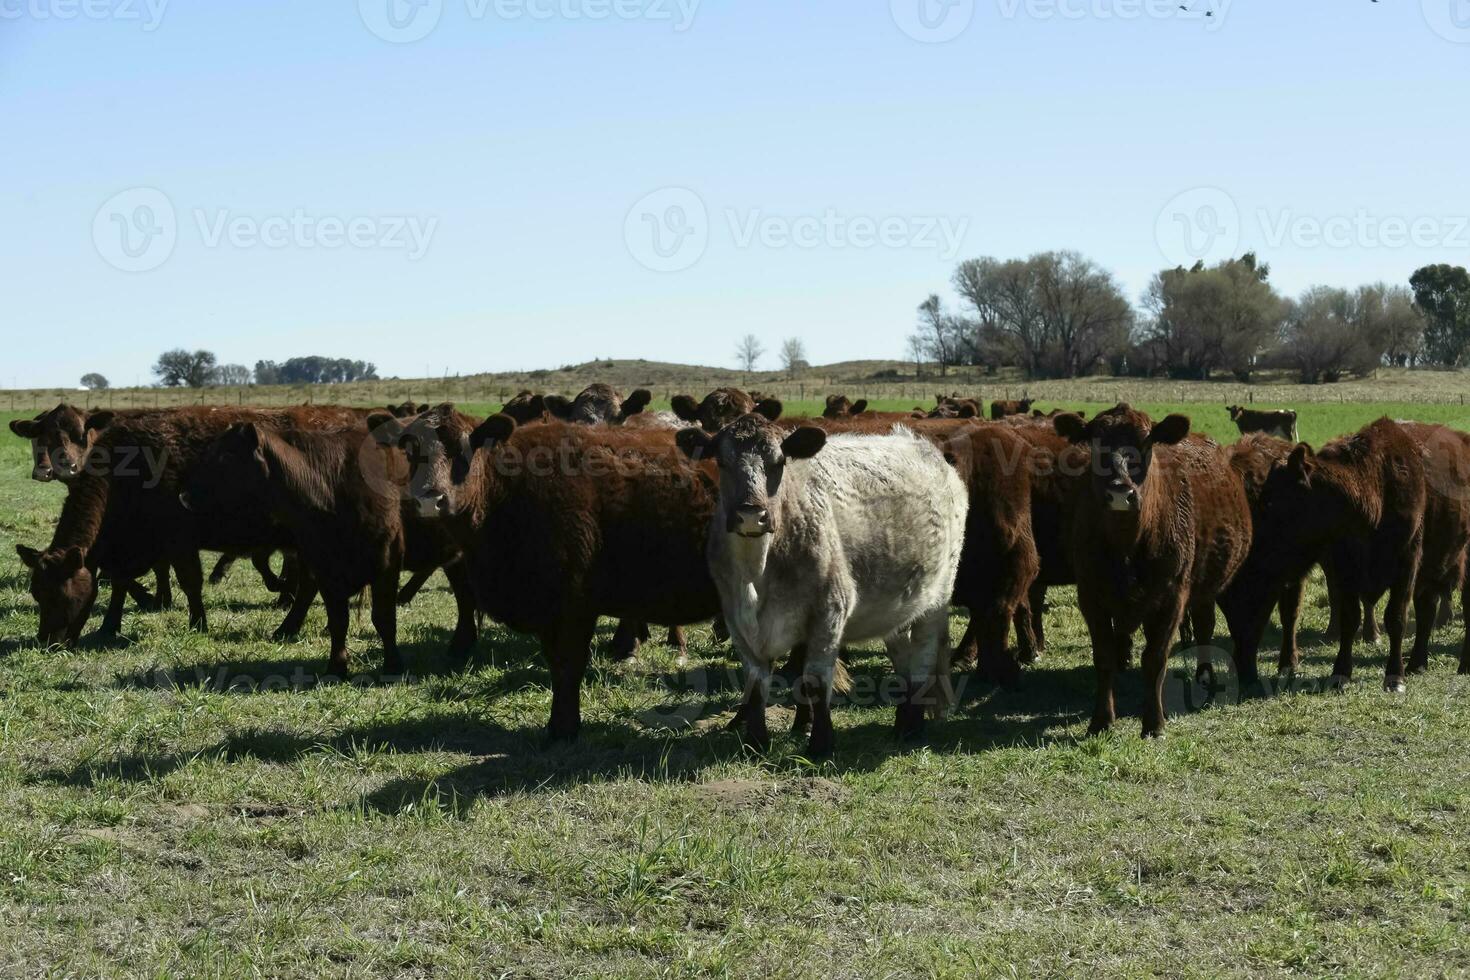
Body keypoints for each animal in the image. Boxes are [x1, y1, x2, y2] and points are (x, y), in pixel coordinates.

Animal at [177, 417, 476, 678]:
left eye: (227, 458)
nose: (185, 497)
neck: (330, 490)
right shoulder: (323, 567)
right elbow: (337, 620)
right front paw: (337, 667)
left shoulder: (387, 563)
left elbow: (383, 619)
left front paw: (393, 665)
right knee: (464, 597)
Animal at [385, 411, 723, 740]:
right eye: (411, 451)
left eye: (464, 448)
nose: (430, 500)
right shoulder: (547, 611)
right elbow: (555, 665)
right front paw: (559, 724)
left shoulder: (575, 606)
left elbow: (570, 664)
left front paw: (564, 728)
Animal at [679, 414, 976, 758]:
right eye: (722, 462)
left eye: (779, 462)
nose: (751, 515)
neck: (756, 573)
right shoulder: (737, 621)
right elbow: (755, 686)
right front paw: (755, 743)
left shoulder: (829, 612)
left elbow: (816, 681)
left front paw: (821, 744)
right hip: (898, 606)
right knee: (902, 655)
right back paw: (902, 723)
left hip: (936, 597)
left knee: (923, 658)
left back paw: (913, 727)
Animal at [1058, 405, 1252, 734]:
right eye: (1096, 443)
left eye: (1146, 443)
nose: (1120, 492)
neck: (1126, 544)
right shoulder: (1091, 595)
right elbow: (1104, 656)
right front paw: (1101, 719)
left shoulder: (1171, 595)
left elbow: (1155, 658)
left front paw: (1153, 721)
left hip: (1203, 590)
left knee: (1204, 627)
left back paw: (1204, 675)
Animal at [1223, 420, 1428, 690]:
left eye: (1271, 500)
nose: (1252, 528)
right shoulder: (1344, 564)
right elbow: (1349, 617)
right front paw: (1340, 672)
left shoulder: (1408, 561)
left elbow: (1396, 618)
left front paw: (1395, 677)